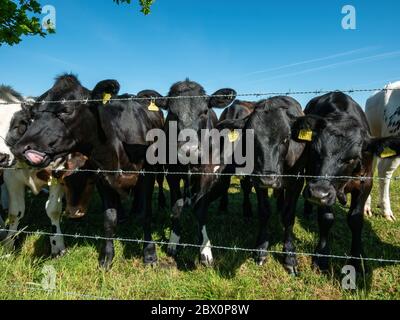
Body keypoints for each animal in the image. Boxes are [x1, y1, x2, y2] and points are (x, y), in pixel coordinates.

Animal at [11, 74, 164, 268]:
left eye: (66, 110)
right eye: (34, 113)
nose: (20, 148)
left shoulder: (147, 175)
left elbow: (146, 215)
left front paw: (150, 255)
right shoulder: (102, 178)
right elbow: (109, 218)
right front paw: (106, 257)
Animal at [217, 97, 304, 272]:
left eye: (286, 138)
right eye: (250, 139)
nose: (268, 179)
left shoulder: (297, 182)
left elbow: (289, 216)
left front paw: (289, 255)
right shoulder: (256, 179)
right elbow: (264, 211)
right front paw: (261, 249)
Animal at [290, 91, 400, 272]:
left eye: (352, 158)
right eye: (315, 150)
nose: (317, 193)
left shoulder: (365, 183)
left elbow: (356, 219)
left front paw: (356, 259)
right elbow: (326, 218)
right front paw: (321, 256)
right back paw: (307, 210)